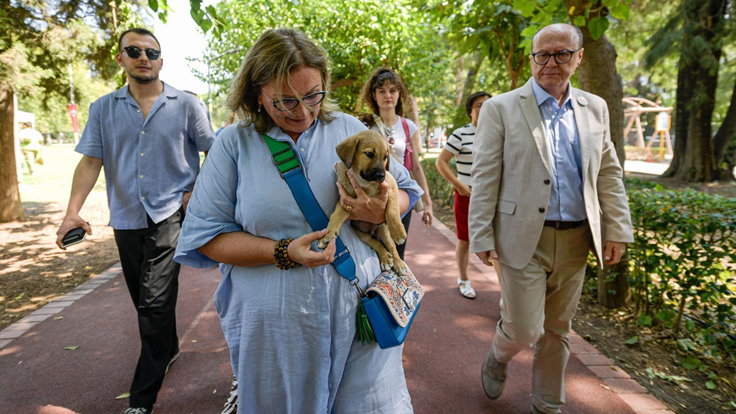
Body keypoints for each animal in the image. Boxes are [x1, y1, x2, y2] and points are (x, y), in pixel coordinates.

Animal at [316, 129, 408, 274]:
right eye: (369, 154)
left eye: (385, 157)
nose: (381, 175)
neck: (363, 182)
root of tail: (372, 231)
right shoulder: (345, 200)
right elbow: (336, 216)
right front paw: (328, 234)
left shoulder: (391, 185)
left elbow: (392, 210)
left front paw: (398, 232)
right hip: (362, 235)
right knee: (376, 243)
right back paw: (385, 258)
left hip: (383, 230)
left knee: (391, 246)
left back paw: (398, 263)